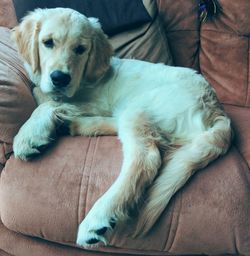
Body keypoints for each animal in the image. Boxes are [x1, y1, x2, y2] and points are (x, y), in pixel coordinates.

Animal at [12, 7, 232, 248]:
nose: (60, 78)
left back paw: (98, 218)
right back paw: (74, 125)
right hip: (132, 110)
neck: (86, 80)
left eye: (80, 49)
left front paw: (28, 134)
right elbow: (41, 93)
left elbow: (48, 102)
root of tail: (217, 109)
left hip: (140, 106)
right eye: (47, 43)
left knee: (146, 159)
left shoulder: (95, 102)